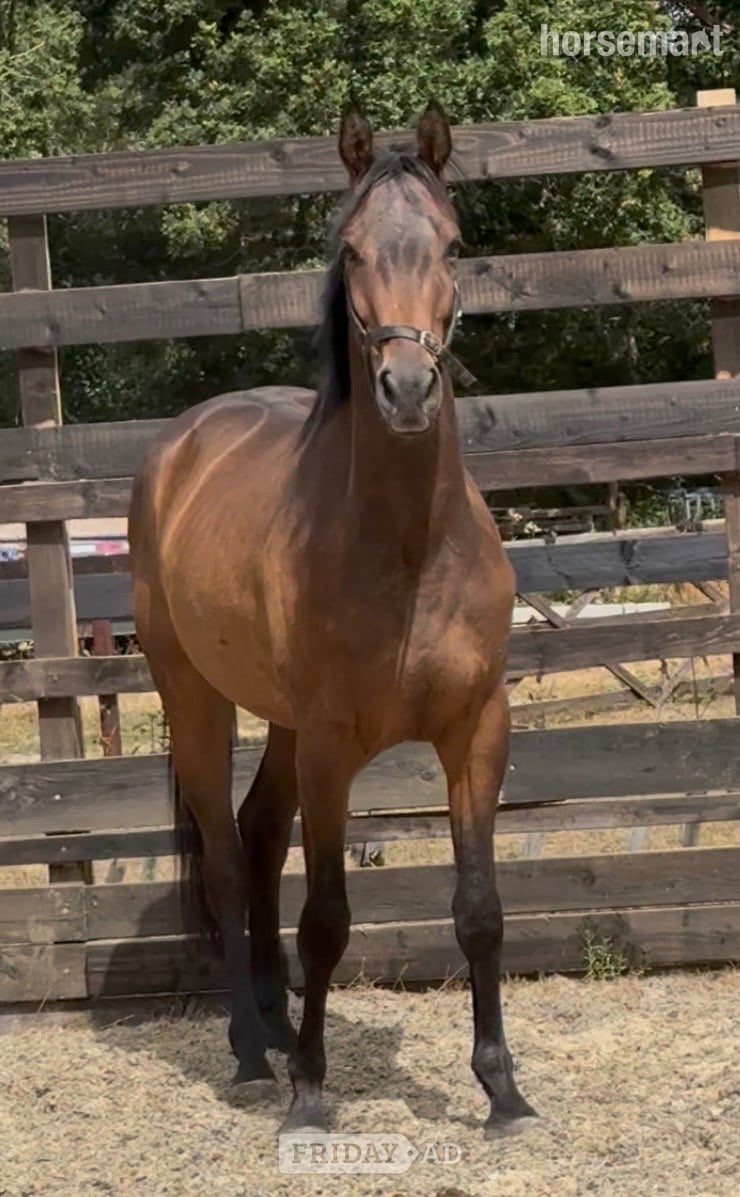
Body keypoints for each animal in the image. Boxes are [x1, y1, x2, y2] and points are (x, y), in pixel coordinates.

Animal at [128, 101, 536, 1137]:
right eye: (350, 250)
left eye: (452, 243)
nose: (406, 389)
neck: (409, 545)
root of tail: (181, 444)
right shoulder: (331, 746)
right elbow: (328, 919)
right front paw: (312, 1093)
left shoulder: (477, 730)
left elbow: (480, 908)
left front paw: (503, 1089)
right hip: (197, 699)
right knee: (230, 862)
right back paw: (251, 1050)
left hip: (278, 722)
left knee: (259, 833)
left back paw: (276, 1024)